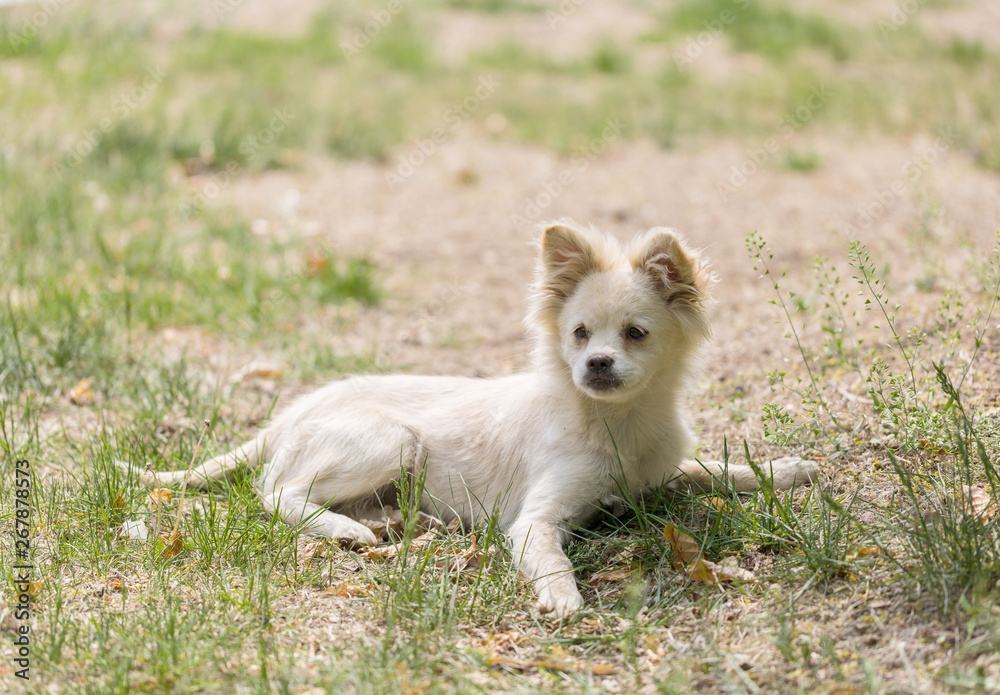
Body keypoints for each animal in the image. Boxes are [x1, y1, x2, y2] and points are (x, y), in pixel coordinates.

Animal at [135, 220, 820, 616]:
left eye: (636, 334)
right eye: (578, 334)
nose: (596, 363)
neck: (614, 421)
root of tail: (294, 411)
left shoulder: (657, 473)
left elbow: (713, 469)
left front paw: (787, 470)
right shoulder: (535, 521)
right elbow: (552, 557)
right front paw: (563, 597)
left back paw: (384, 519)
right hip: (391, 440)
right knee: (276, 491)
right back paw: (347, 530)